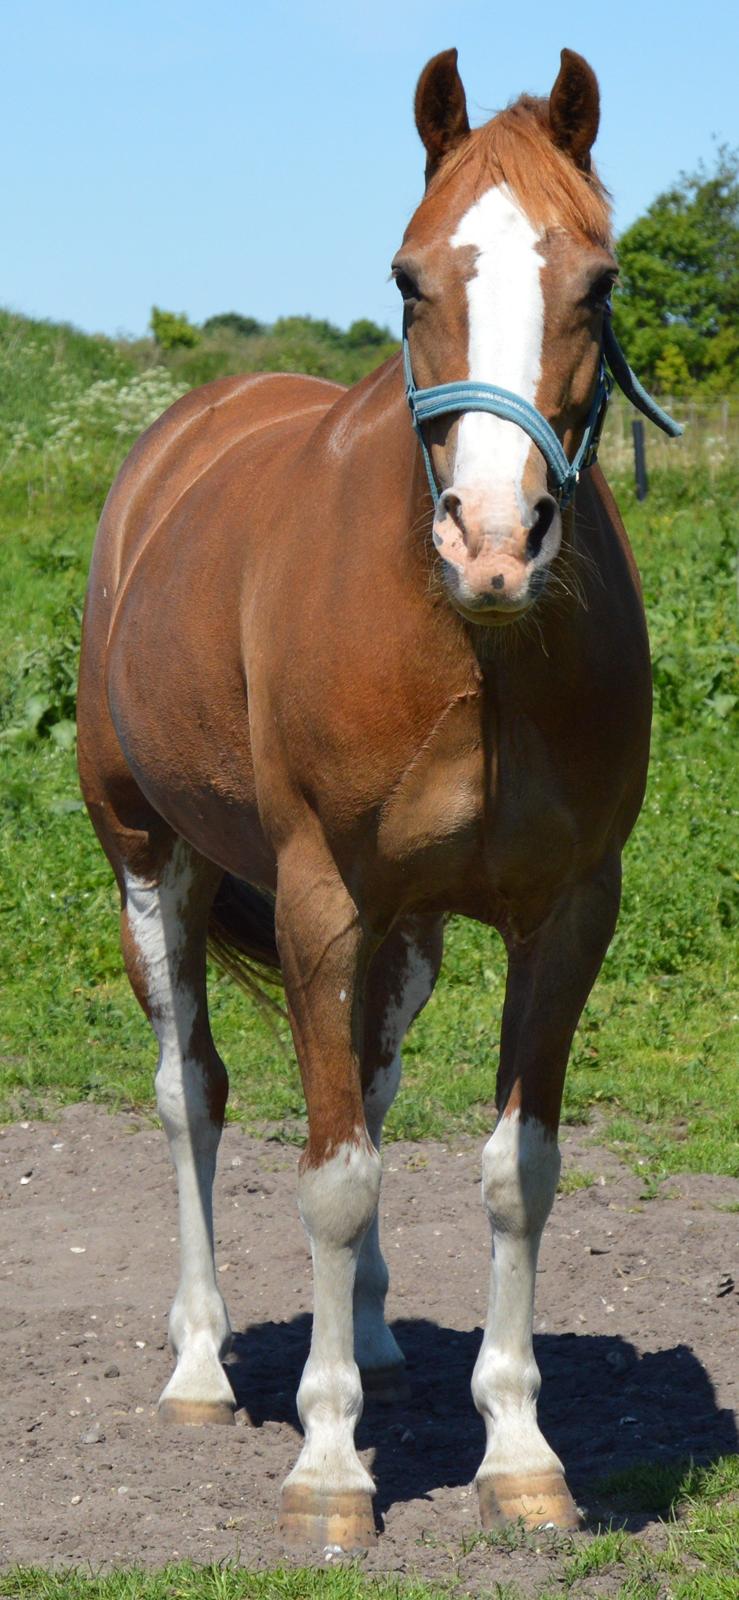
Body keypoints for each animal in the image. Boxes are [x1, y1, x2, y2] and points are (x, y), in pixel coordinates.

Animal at [77, 47, 675, 1551]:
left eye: (599, 282)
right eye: (408, 279)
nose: (492, 541)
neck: (472, 644)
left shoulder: (563, 914)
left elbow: (515, 1171)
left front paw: (516, 1448)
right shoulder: (318, 902)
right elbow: (329, 1174)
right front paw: (329, 1464)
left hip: (407, 936)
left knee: (378, 1077)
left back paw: (383, 1335)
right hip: (150, 861)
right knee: (192, 1092)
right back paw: (200, 1366)